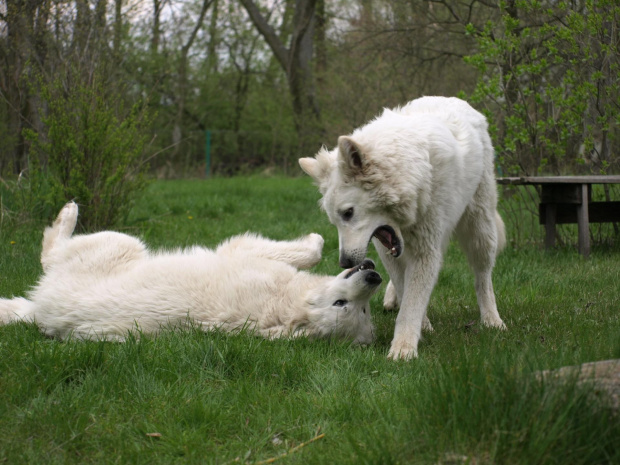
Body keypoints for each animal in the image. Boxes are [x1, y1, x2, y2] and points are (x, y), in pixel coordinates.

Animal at [0, 201, 380, 342]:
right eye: (344, 304)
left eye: (359, 309)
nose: (374, 277)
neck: (283, 303)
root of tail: (41, 311)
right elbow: (312, 251)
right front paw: (317, 238)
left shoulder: (241, 253)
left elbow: (306, 251)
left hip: (120, 244)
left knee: (50, 253)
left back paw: (67, 212)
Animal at [298, 96, 506, 360]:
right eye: (335, 220)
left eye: (348, 213)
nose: (345, 263)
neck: (412, 177)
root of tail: (455, 100)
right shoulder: (388, 250)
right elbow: (405, 288)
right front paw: (421, 327)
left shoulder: (425, 250)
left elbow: (411, 304)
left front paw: (403, 349)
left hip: (479, 230)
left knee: (483, 278)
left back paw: (492, 320)